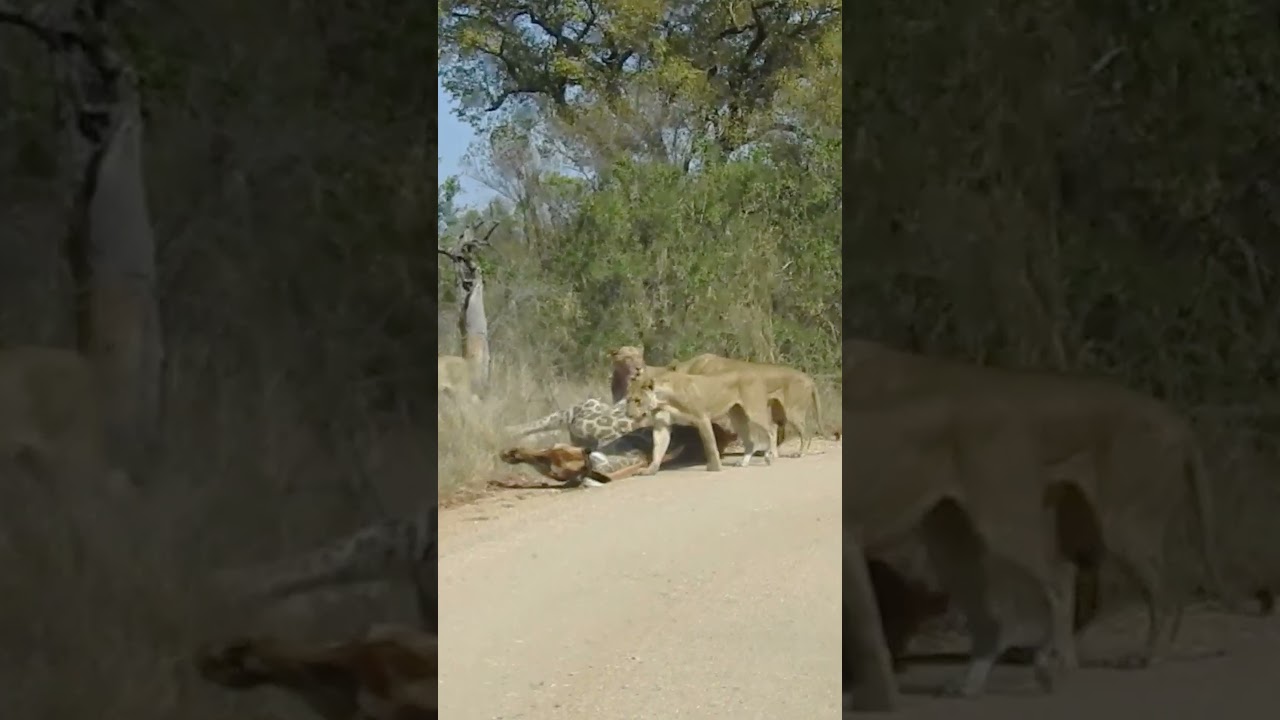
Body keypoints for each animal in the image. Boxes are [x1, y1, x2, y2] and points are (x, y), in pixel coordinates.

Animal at [624, 367, 776, 473]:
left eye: (637, 400)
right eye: (628, 400)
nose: (629, 415)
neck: (663, 400)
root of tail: (754, 372)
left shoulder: (701, 418)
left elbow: (710, 445)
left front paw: (715, 468)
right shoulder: (661, 425)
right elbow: (658, 448)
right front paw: (651, 470)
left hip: (754, 411)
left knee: (772, 430)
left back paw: (770, 457)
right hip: (737, 417)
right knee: (750, 440)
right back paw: (744, 462)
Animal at [668, 352, 824, 456]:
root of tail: (809, 378)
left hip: (793, 410)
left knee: (805, 431)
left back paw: (799, 453)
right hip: (779, 412)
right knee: (780, 431)